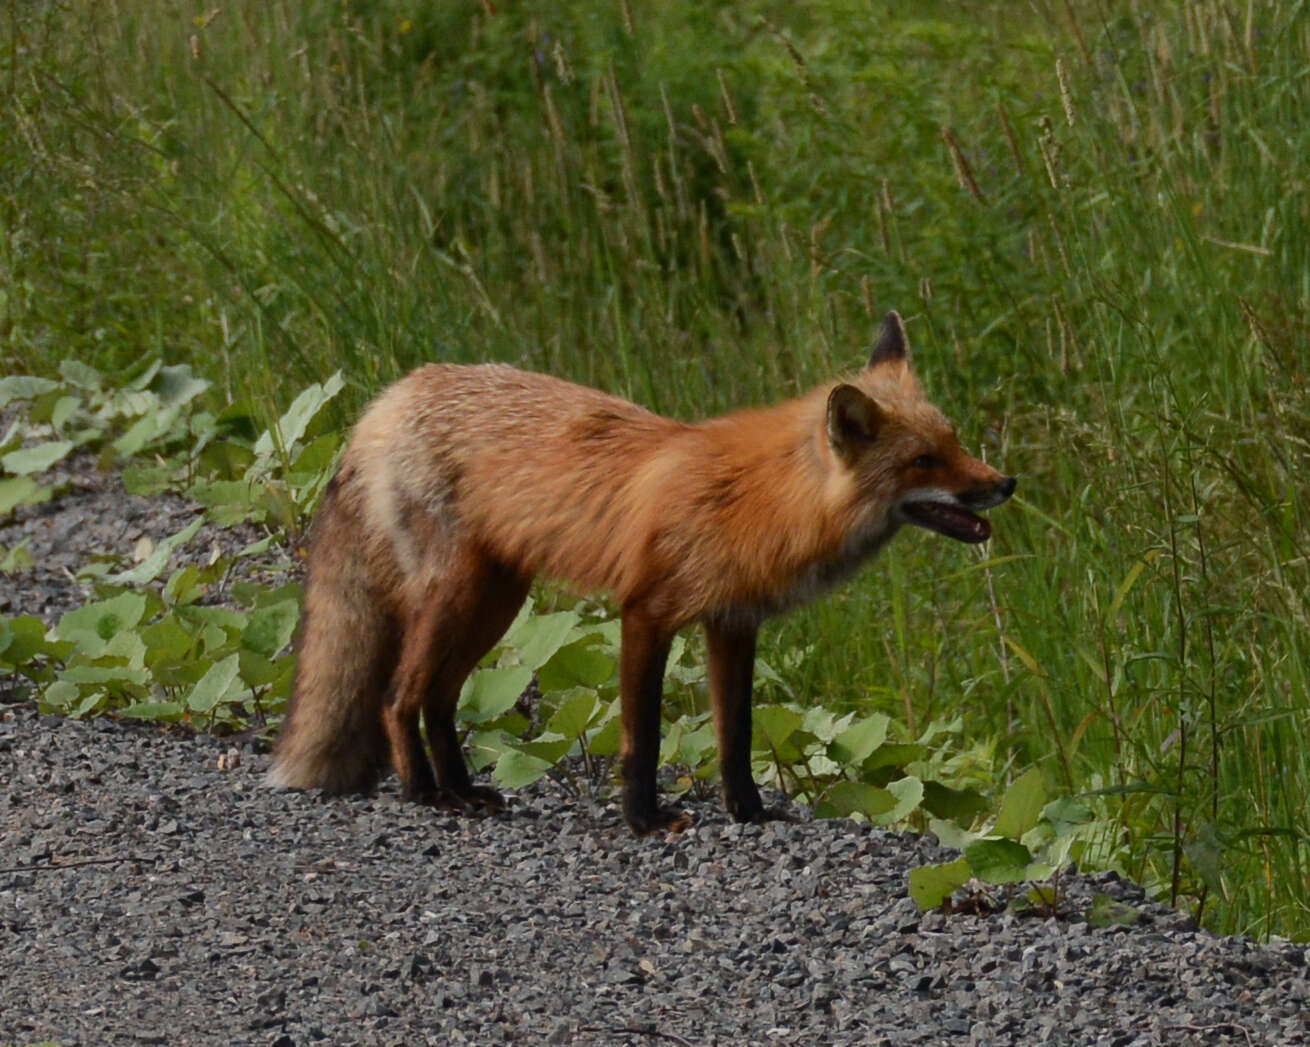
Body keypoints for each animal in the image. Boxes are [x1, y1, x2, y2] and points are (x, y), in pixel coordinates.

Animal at [265, 311, 1011, 833]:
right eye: (922, 462)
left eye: (953, 442)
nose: (1006, 483)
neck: (762, 499)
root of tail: (386, 398)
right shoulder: (647, 612)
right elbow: (642, 736)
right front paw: (644, 820)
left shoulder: (733, 623)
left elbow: (736, 736)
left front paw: (748, 812)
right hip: (456, 596)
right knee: (398, 696)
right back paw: (424, 794)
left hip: (495, 601)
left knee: (439, 699)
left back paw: (462, 788)